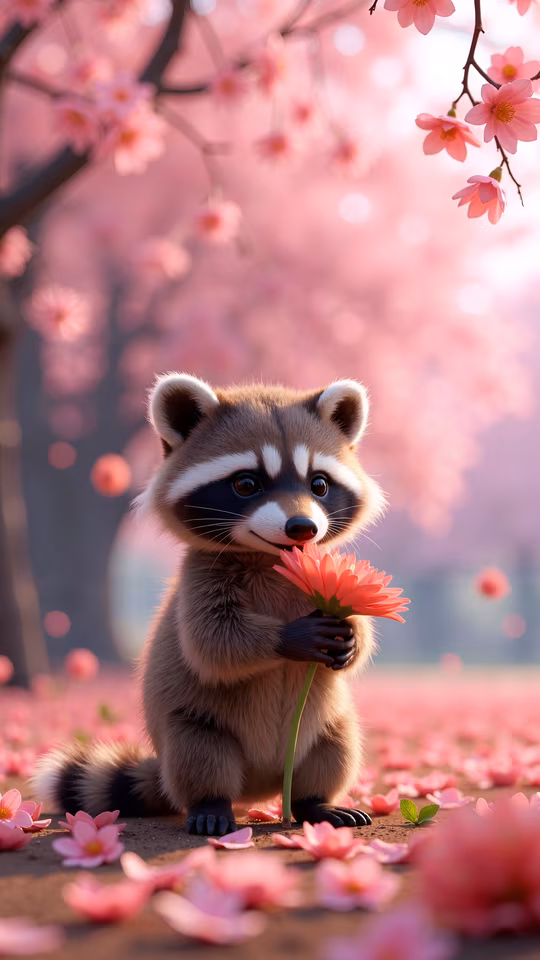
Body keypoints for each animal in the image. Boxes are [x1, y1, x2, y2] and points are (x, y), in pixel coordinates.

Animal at [35, 374, 386, 835]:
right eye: (246, 484)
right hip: (192, 723)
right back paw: (212, 804)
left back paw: (316, 802)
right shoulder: (201, 576)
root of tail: (258, 789)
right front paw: (292, 636)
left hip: (329, 723)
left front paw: (351, 637)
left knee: (335, 748)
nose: (302, 528)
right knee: (200, 754)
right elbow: (214, 642)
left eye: (319, 485)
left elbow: (355, 624)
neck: (274, 558)